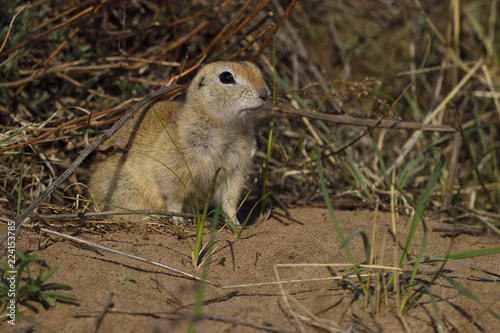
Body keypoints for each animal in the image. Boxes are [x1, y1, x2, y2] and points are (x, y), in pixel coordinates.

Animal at [90, 61, 270, 224]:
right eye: (226, 77)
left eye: (256, 69)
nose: (265, 94)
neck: (226, 127)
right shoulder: (172, 170)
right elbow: (174, 197)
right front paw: (178, 218)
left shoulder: (234, 171)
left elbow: (229, 201)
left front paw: (235, 224)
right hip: (123, 188)